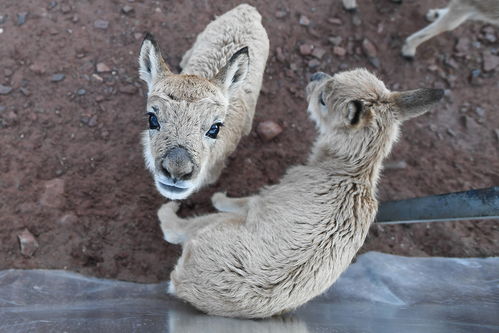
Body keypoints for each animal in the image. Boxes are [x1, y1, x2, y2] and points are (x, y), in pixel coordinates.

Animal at [158, 67, 444, 316]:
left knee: (174, 232)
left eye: (323, 100)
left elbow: (241, 201)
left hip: (214, 226)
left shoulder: (265, 199)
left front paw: (219, 196)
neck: (349, 171)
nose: (315, 75)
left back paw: (170, 207)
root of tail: (181, 285)